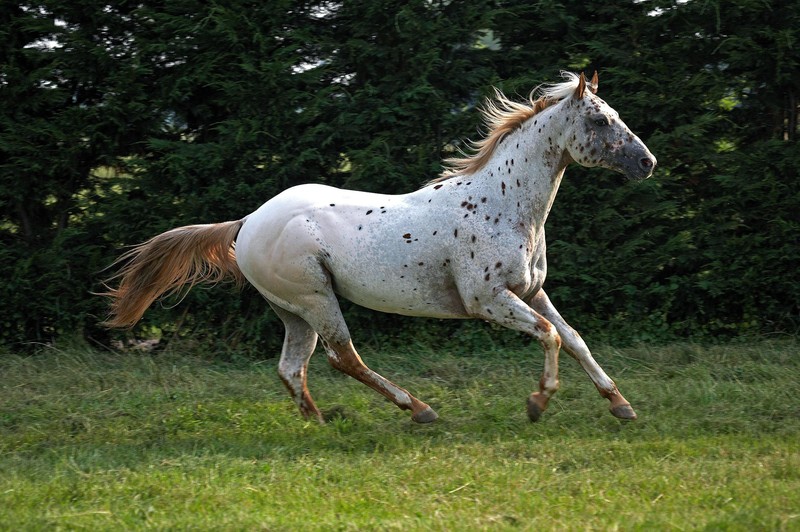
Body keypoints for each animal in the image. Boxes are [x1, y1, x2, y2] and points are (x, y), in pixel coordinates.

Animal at [101, 72, 656, 426]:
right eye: (600, 121)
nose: (646, 163)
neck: (500, 204)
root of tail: (247, 222)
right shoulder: (489, 301)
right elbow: (550, 335)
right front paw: (538, 403)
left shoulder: (531, 291)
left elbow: (574, 338)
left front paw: (621, 405)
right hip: (315, 299)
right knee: (342, 358)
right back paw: (419, 410)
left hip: (293, 312)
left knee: (292, 368)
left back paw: (319, 424)